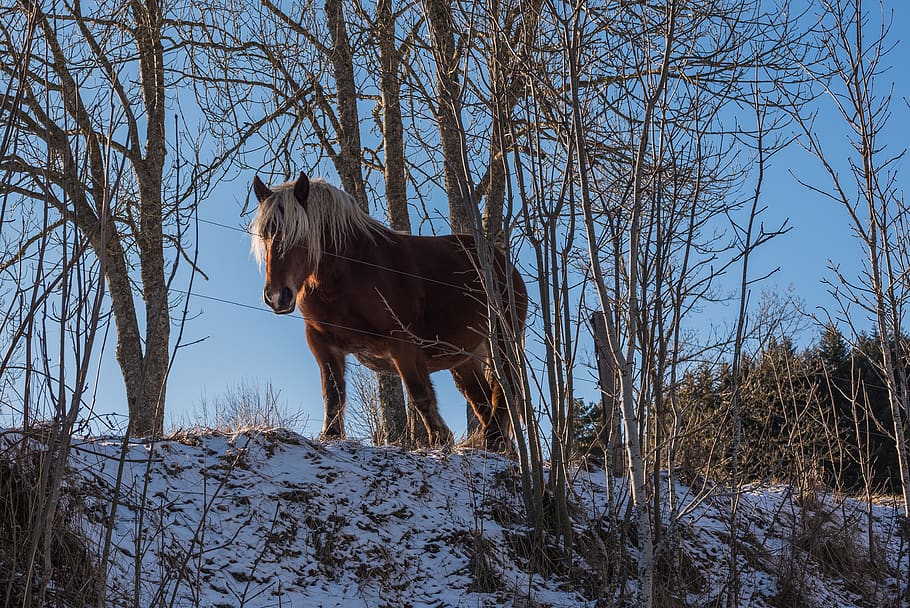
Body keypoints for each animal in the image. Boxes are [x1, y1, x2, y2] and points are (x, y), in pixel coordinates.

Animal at [250, 173, 528, 451]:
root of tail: (502, 263)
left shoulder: (402, 342)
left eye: (300, 235)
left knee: (505, 387)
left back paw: (494, 438)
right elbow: (333, 394)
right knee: (482, 400)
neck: (349, 273)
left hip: (501, 342)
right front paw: (330, 436)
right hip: (464, 358)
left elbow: (419, 393)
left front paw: (439, 440)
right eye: (265, 235)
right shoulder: (322, 343)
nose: (277, 296)